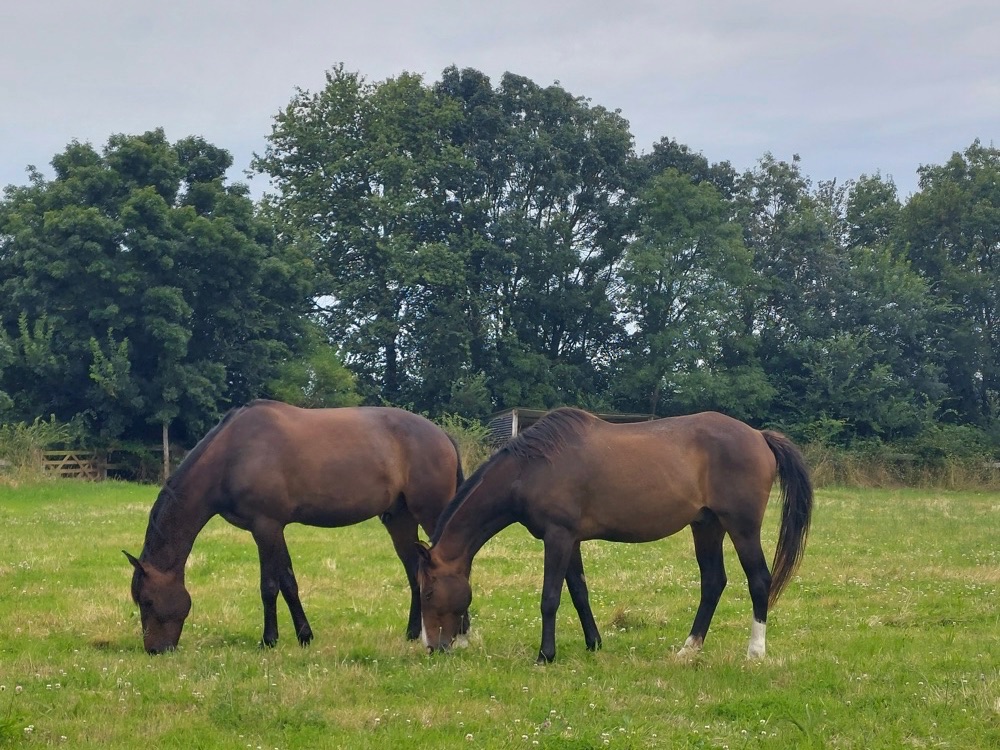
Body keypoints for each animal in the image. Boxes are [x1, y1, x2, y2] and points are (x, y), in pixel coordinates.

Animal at [125, 402, 464, 656]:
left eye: (148, 601)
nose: (155, 650)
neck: (233, 454)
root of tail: (443, 435)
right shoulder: (273, 529)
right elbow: (288, 581)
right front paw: (304, 635)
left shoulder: (266, 527)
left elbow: (270, 585)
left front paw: (269, 639)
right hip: (399, 519)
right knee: (415, 570)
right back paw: (412, 632)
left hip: (432, 513)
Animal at [414, 412, 812, 664]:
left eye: (429, 592)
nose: (433, 647)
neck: (530, 469)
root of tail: (759, 436)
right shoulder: (570, 540)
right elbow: (579, 592)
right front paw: (594, 644)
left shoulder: (558, 537)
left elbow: (550, 598)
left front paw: (545, 655)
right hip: (707, 526)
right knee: (713, 582)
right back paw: (689, 649)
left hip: (742, 527)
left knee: (759, 580)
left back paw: (755, 653)